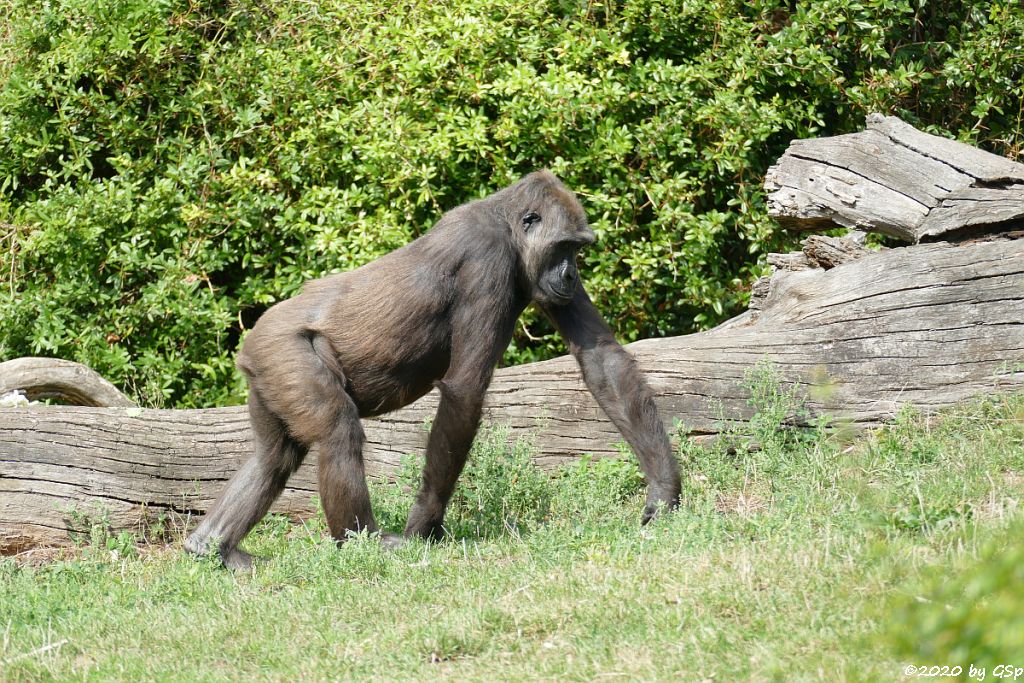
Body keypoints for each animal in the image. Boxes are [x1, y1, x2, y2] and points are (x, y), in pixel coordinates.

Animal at [186, 171, 679, 573]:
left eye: (578, 250)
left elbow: (602, 359)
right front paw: (424, 525)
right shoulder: (488, 260)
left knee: (274, 455)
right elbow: (465, 392)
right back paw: (364, 541)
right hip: (283, 348)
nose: (573, 276)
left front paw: (664, 492)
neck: (505, 223)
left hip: (266, 369)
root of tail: (251, 341)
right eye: (565, 247)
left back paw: (212, 547)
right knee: (336, 432)